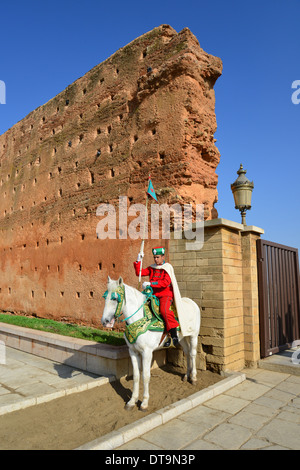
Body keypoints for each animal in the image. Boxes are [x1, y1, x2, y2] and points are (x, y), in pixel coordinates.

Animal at [101, 276, 202, 412]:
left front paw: (144, 402)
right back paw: (187, 375)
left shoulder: (147, 352)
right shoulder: (133, 351)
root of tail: (192, 302)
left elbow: (146, 376)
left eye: (115, 298)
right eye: (105, 297)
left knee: (192, 354)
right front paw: (132, 401)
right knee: (186, 353)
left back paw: (194, 377)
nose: (105, 321)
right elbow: (136, 375)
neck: (139, 318)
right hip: (181, 338)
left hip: (193, 335)